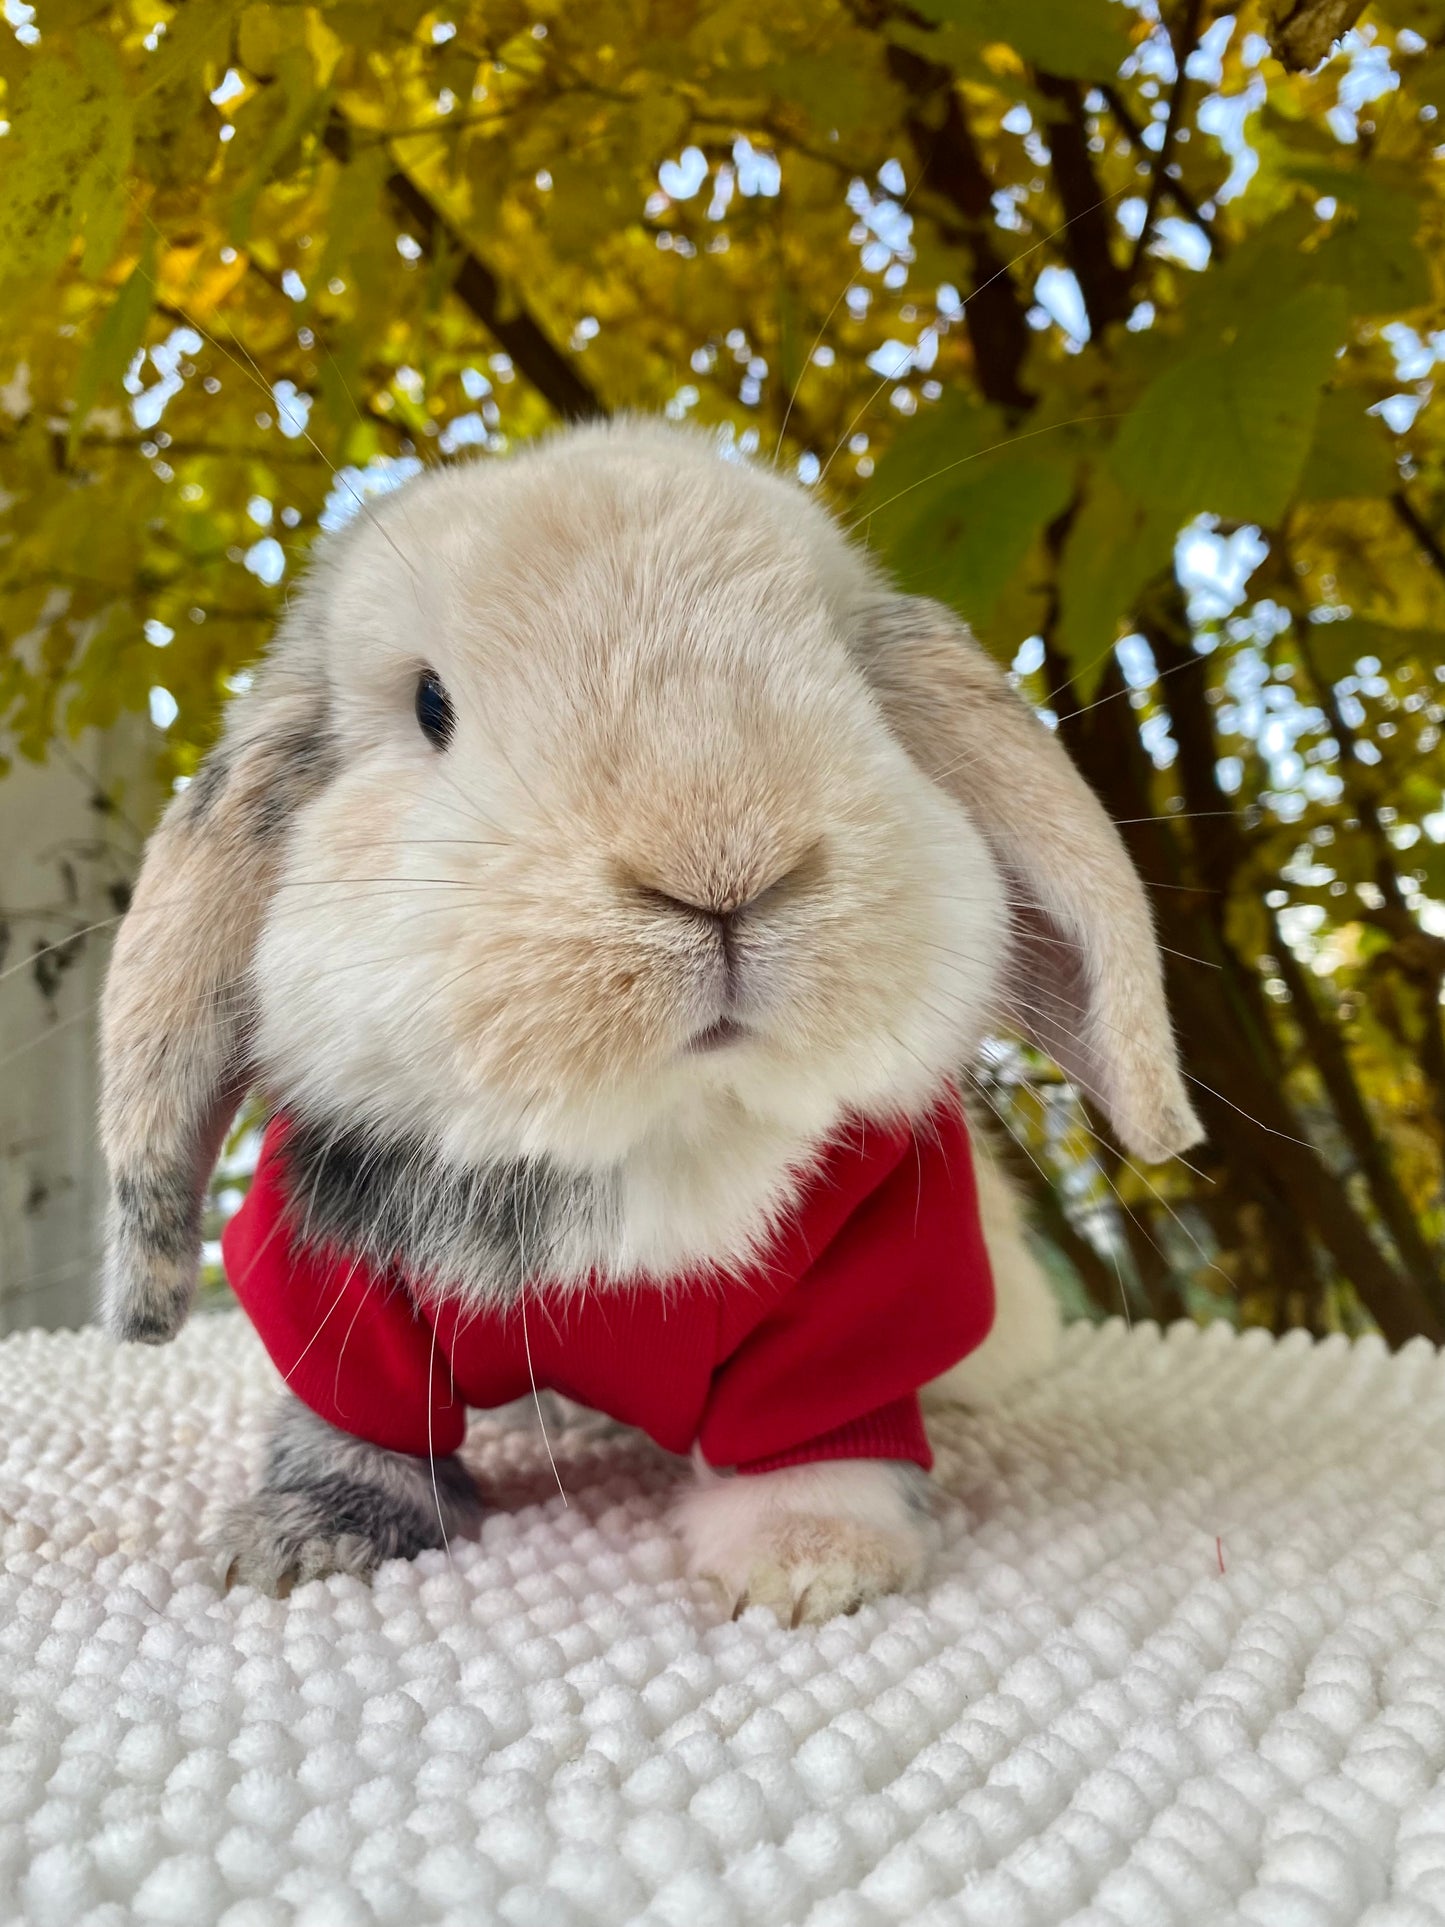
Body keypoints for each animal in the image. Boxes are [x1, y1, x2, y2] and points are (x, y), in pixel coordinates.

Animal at [98, 419, 1200, 1620]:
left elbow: (812, 1435)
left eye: (851, 677)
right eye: (431, 706)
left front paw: (809, 1565)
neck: (650, 1134)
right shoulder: (332, 1286)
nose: (721, 862)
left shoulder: (860, 1294)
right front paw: (300, 1540)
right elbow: (355, 1419)